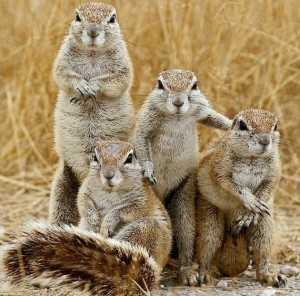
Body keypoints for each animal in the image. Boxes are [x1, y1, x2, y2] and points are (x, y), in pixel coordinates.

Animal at [2, 142, 172, 296]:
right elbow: (83, 203)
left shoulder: (143, 201)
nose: (108, 175)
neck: (110, 191)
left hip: (145, 229)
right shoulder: (84, 190)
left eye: (129, 158)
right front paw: (93, 219)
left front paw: (109, 220)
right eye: (95, 157)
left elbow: (125, 209)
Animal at [49, 1, 132, 227]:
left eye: (112, 18)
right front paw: (81, 86)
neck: (93, 53)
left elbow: (117, 80)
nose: (93, 31)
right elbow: (62, 75)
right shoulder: (62, 60)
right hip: (62, 185)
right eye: (78, 16)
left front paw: (93, 86)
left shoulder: (123, 66)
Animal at [132, 68, 232, 286]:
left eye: (194, 85)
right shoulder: (147, 118)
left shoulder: (200, 109)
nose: (178, 102)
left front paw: (233, 123)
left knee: (185, 230)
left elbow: (213, 117)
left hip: (183, 194)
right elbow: (141, 139)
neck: (176, 117)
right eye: (160, 85)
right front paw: (148, 170)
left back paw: (187, 271)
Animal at [196, 108, 288, 286]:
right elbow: (232, 184)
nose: (265, 140)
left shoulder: (275, 171)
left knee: (262, 252)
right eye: (243, 125)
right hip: (209, 217)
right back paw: (203, 274)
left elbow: (268, 187)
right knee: (208, 244)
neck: (252, 158)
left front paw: (250, 214)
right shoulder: (219, 166)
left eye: (275, 126)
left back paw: (271, 276)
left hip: (265, 225)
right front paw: (250, 200)